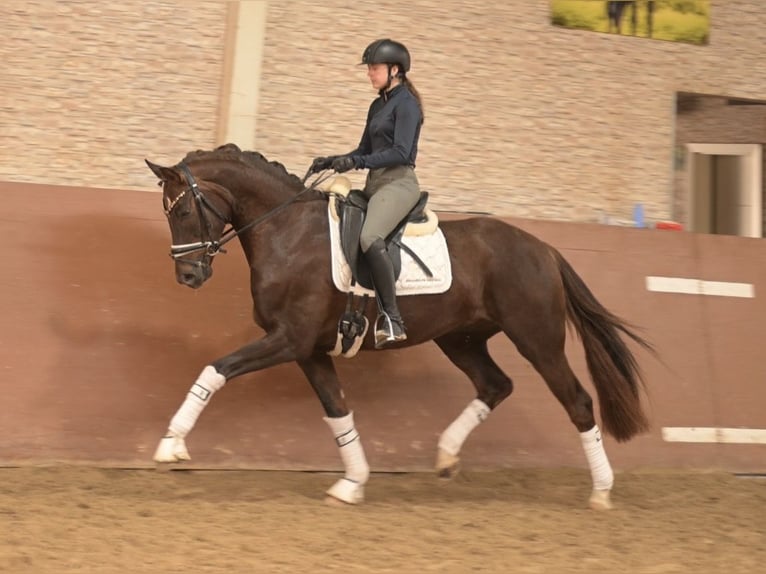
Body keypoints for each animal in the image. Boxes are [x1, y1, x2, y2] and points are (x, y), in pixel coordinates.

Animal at [145, 143, 653, 510]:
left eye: (183, 212)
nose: (188, 276)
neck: (287, 231)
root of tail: (543, 248)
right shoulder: (310, 350)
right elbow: (338, 411)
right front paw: (352, 484)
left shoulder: (288, 340)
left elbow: (216, 369)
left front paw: (171, 445)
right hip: (461, 339)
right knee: (496, 385)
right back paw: (446, 455)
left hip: (537, 339)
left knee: (578, 402)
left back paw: (601, 491)